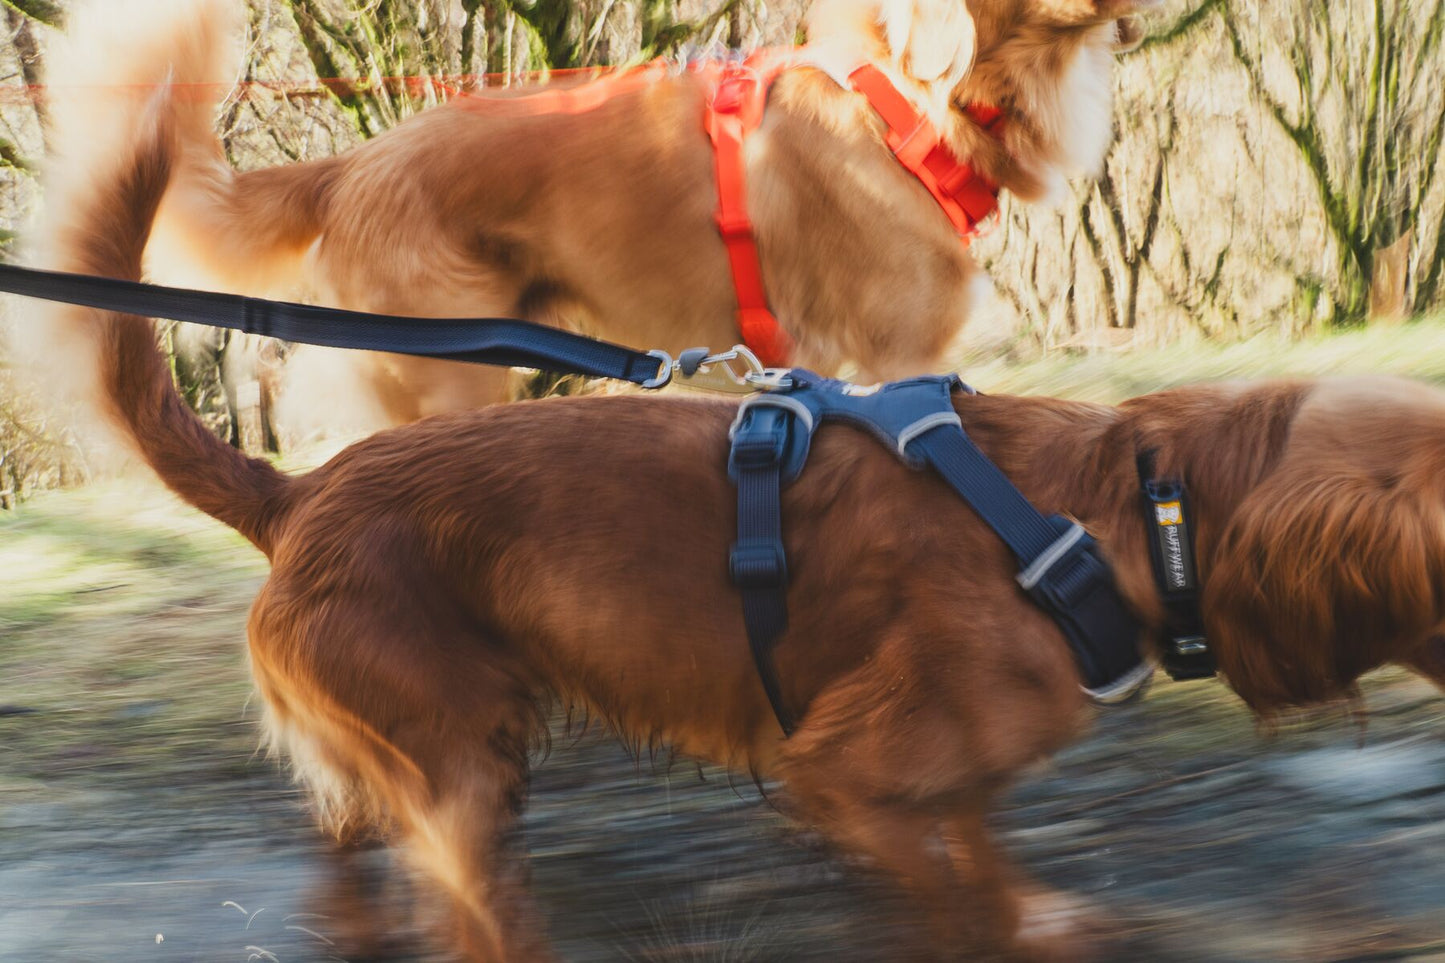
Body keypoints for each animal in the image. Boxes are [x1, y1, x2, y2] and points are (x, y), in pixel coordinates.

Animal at [31, 20, 1445, 954]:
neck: (1120, 512)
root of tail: (298, 499)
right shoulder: (844, 778)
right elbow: (953, 901)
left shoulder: (954, 788)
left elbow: (985, 858)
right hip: (459, 775)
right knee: (471, 915)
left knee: (345, 862)